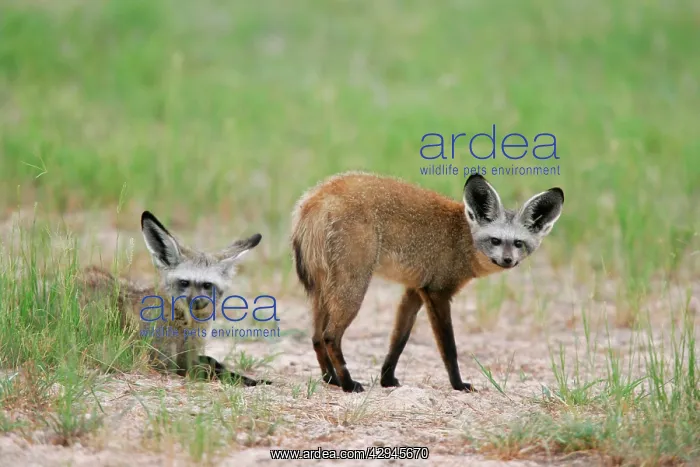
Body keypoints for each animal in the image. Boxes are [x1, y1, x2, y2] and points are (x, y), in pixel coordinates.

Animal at [76, 210, 270, 387]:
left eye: (207, 285)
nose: (196, 302)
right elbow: (210, 369)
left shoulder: (189, 355)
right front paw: (246, 380)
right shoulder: (163, 361)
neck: (185, 327)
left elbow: (214, 362)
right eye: (184, 282)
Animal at [290, 171, 564, 393]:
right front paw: (458, 385)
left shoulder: (414, 290)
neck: (462, 238)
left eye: (518, 243)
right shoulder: (438, 292)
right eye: (495, 241)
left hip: (323, 291)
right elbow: (449, 348)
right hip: (353, 288)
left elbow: (398, 342)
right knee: (330, 337)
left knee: (316, 338)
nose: (507, 260)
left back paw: (331, 379)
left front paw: (387, 380)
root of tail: (318, 194)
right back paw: (347, 384)